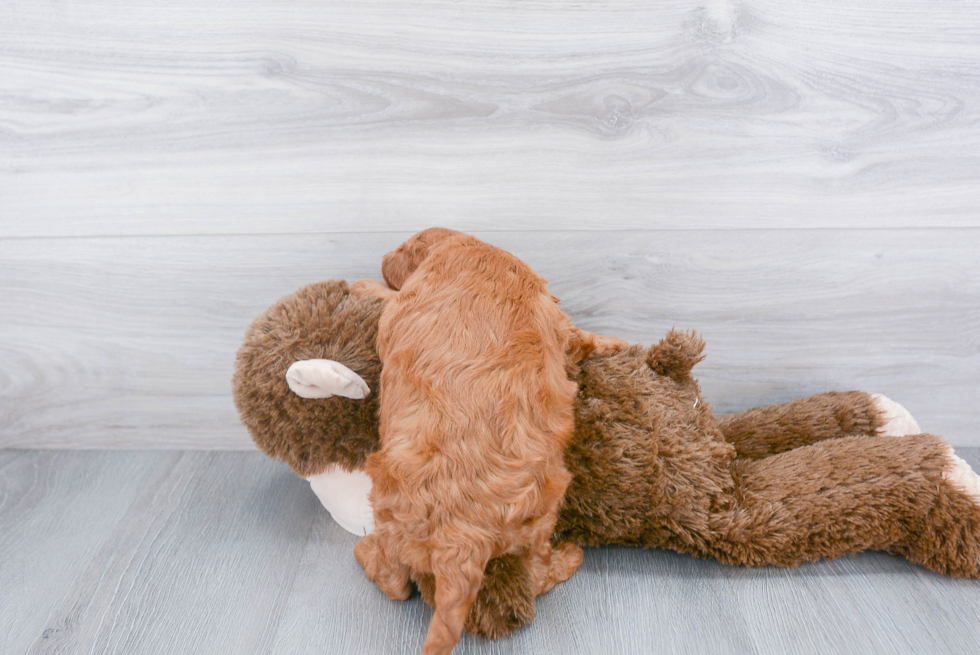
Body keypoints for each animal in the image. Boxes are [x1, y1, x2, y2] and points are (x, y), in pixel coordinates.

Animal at [356, 228, 624, 652]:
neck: (477, 250)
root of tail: (465, 539)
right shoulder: (556, 319)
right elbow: (578, 337)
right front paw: (617, 344)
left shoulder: (402, 303)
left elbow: (384, 300)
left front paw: (361, 284)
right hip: (541, 512)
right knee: (536, 572)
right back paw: (569, 559)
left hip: (388, 508)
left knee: (395, 581)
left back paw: (364, 551)